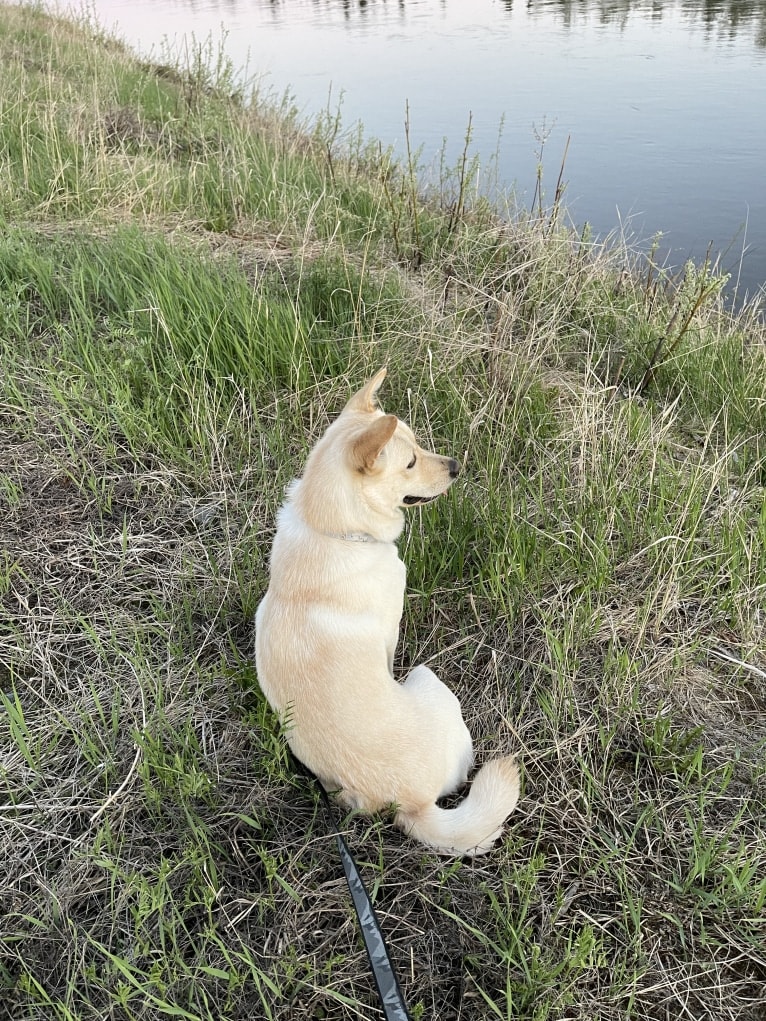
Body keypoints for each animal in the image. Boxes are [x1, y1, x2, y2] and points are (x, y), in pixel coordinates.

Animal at [255, 367, 518, 853]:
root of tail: (412, 805)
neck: (332, 529)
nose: (456, 467)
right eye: (410, 463)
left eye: (417, 443)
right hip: (429, 680)